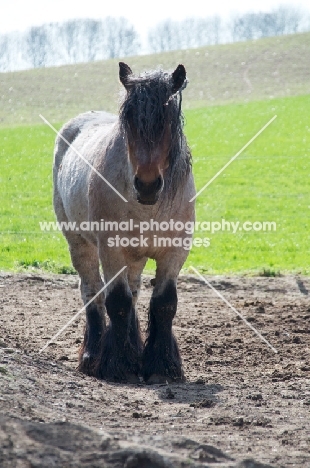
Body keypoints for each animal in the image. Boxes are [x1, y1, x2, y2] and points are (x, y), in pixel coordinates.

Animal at [52, 62, 195, 384]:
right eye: (128, 120)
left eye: (167, 120)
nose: (147, 184)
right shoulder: (111, 251)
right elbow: (116, 302)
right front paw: (119, 366)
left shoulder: (175, 253)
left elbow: (164, 303)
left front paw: (161, 366)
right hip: (79, 244)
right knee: (92, 292)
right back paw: (93, 355)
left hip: (135, 256)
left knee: (134, 290)